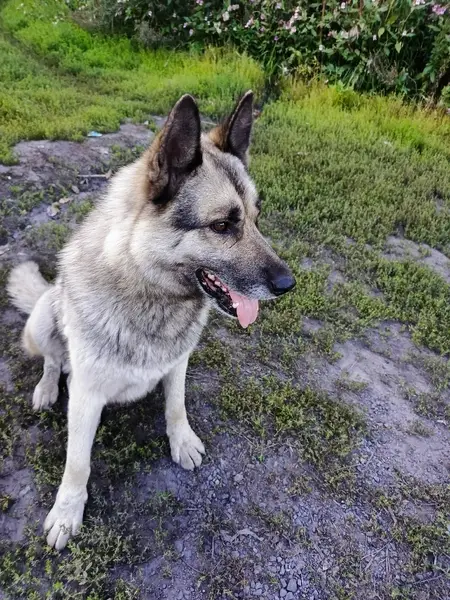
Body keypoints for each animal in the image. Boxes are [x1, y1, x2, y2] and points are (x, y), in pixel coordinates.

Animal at [7, 91, 295, 550]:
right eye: (222, 225)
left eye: (256, 218)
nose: (289, 284)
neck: (150, 290)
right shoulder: (85, 398)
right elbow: (77, 464)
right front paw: (67, 512)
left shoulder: (178, 364)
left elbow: (175, 406)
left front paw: (181, 440)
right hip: (43, 321)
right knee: (52, 360)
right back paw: (47, 387)